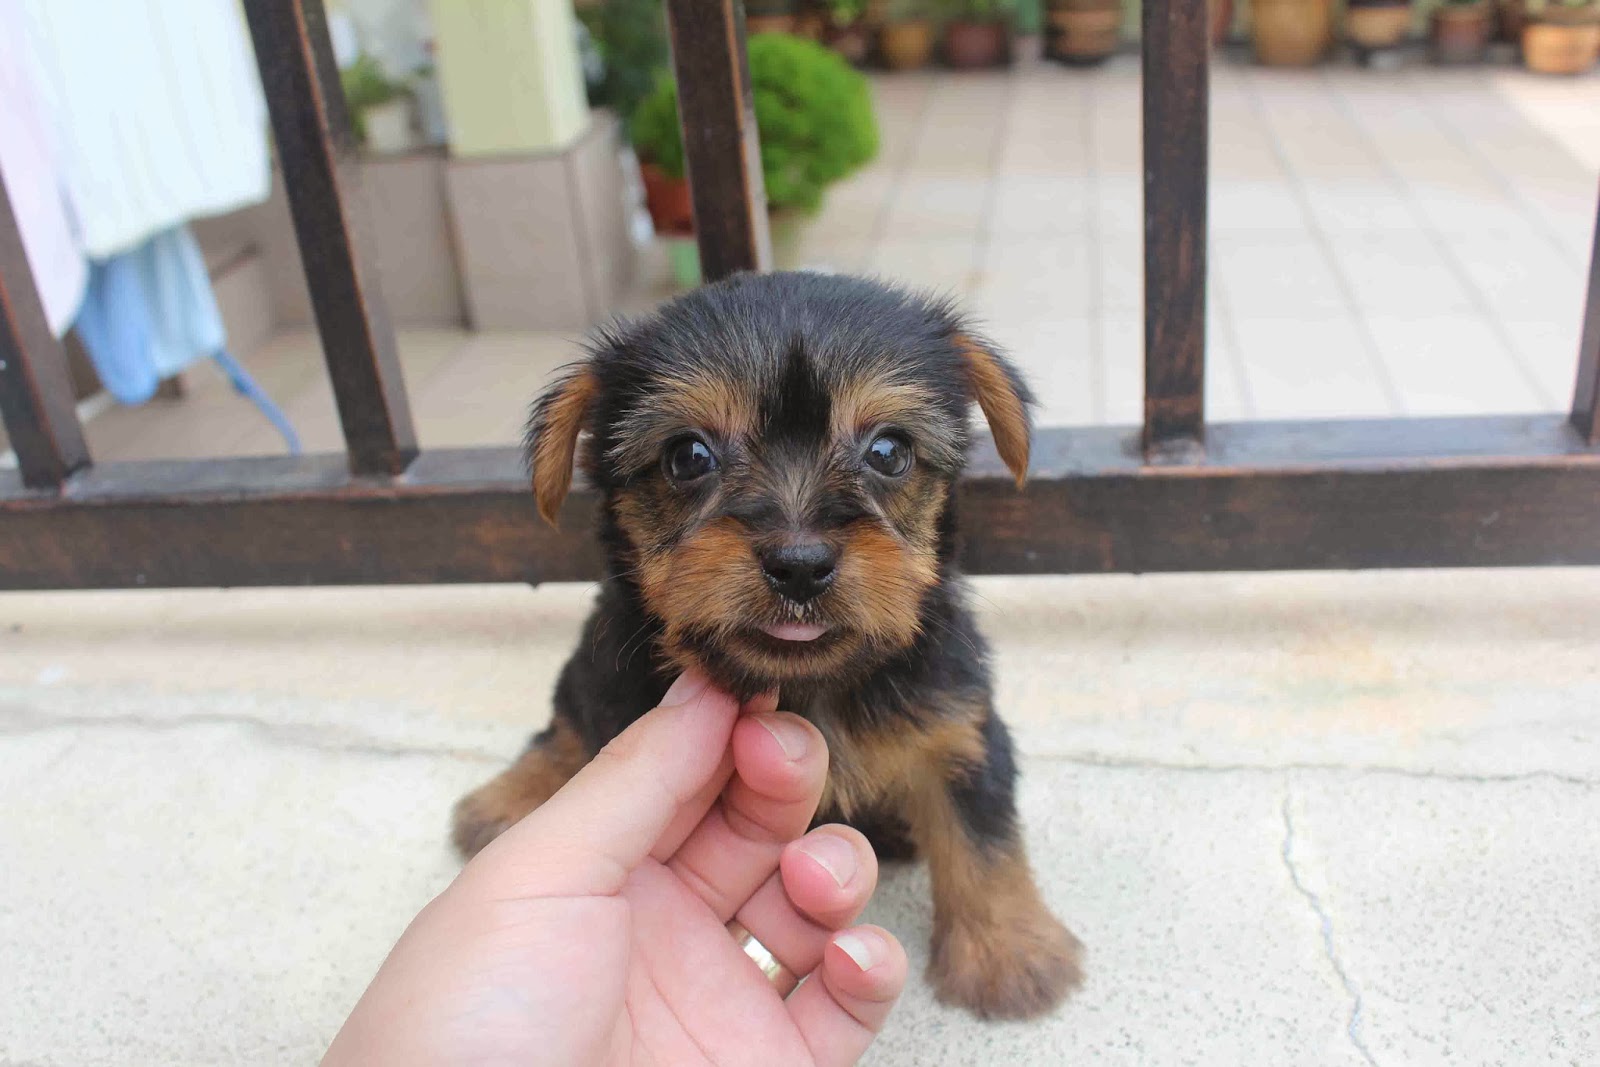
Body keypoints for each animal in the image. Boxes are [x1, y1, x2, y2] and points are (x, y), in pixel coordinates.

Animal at [457, 268, 1081, 1017]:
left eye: (889, 451)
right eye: (688, 456)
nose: (801, 563)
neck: (809, 684)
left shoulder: (955, 719)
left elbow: (981, 831)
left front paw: (1007, 951)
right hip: (591, 667)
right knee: (563, 727)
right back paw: (508, 799)